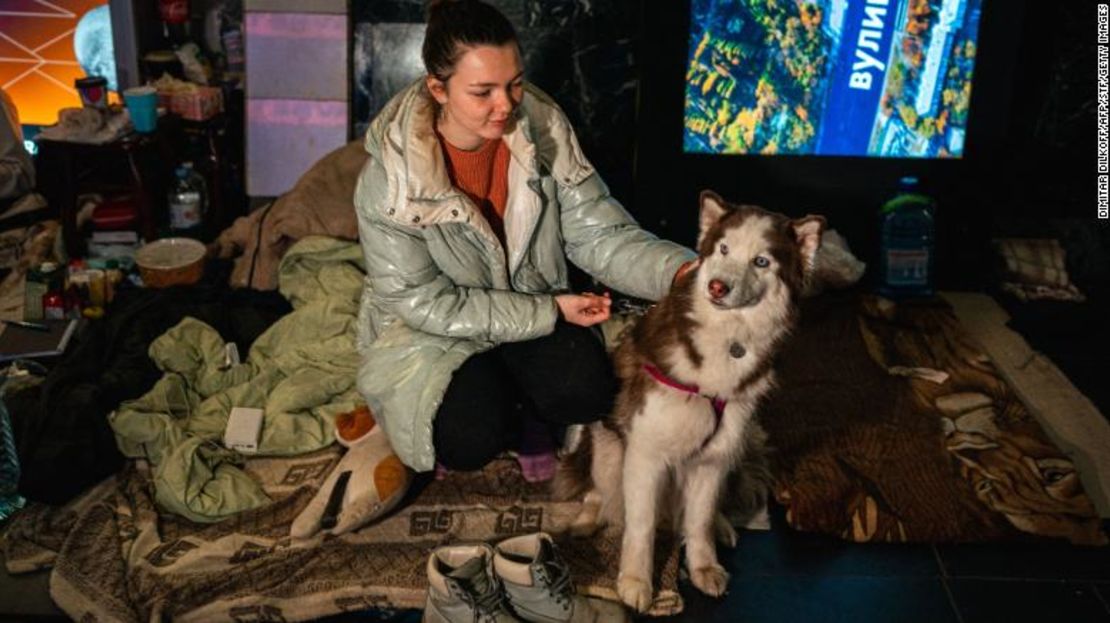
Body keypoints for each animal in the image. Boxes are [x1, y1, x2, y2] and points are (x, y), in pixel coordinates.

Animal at [559, 189, 821, 608]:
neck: (727, 338)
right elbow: (640, 523)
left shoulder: (714, 456)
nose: (717, 287)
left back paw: (722, 526)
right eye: (723, 249)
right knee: (598, 490)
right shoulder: (644, 451)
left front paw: (702, 566)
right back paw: (587, 520)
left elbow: (698, 520)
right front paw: (635, 581)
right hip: (606, 447)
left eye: (761, 261)